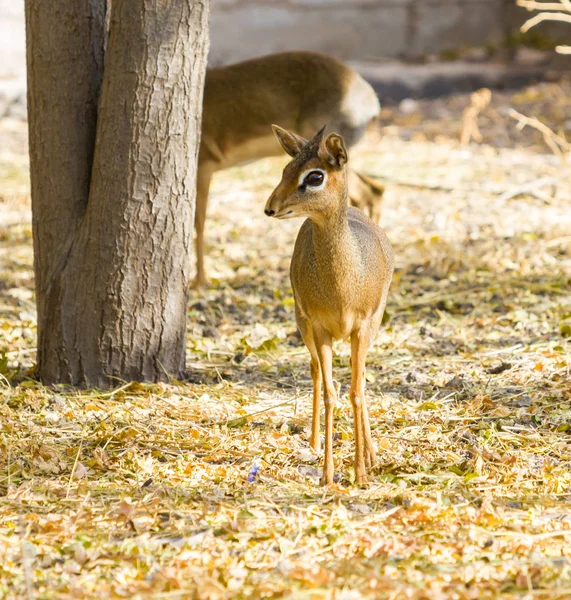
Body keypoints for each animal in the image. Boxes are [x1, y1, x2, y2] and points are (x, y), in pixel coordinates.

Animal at [194, 49, 386, 288]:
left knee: (369, 191)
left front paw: (199, 281)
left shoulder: (203, 165)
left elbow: (198, 222)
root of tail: (370, 98)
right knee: (376, 189)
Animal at [264, 124, 394, 486]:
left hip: (370, 329)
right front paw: (328, 474)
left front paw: (361, 471)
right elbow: (330, 393)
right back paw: (313, 442)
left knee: (358, 380)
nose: (270, 207)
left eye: (315, 175)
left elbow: (356, 392)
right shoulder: (320, 330)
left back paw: (371, 453)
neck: (341, 290)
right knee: (317, 375)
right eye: (286, 168)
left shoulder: (362, 328)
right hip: (303, 326)